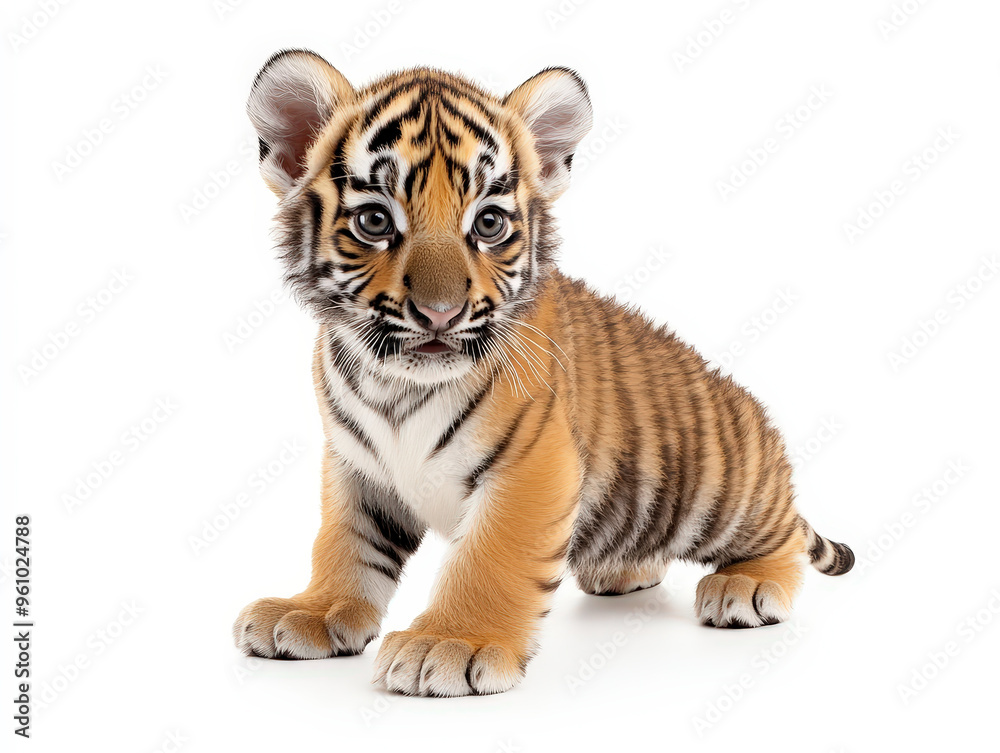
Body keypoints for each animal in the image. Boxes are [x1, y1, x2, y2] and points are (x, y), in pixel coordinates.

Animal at [232, 49, 854, 698]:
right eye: (375, 221)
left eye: (488, 224)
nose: (440, 313)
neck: (398, 386)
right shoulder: (356, 466)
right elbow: (346, 543)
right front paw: (313, 611)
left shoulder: (533, 463)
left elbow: (491, 557)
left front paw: (450, 643)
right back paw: (623, 570)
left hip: (725, 491)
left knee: (780, 535)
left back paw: (749, 585)